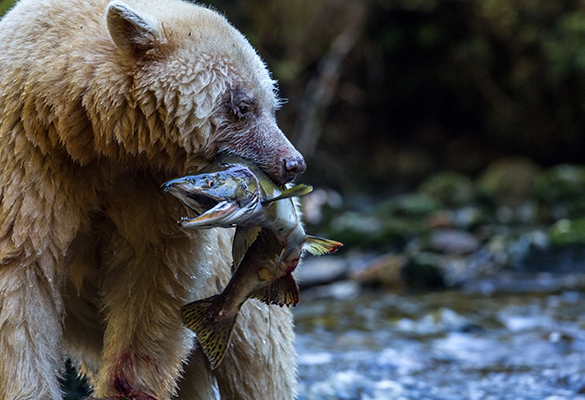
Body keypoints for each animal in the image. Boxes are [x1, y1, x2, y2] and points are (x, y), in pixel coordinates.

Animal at [0, 0, 304, 400]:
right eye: (243, 105)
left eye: (273, 102)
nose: (293, 163)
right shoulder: (28, 165)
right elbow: (22, 284)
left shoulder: (152, 199)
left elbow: (152, 292)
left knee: (258, 362)